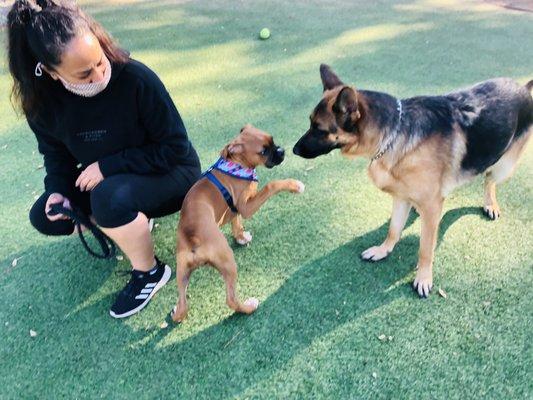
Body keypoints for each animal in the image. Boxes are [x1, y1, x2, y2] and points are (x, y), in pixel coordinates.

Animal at [170, 124, 304, 322]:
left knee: (183, 306)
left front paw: (241, 237)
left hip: (182, 271)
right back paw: (249, 307)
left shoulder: (236, 207)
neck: (237, 164)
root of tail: (193, 235)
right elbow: (271, 185)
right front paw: (294, 185)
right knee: (231, 299)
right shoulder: (247, 207)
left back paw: (176, 312)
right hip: (227, 262)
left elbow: (236, 221)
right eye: (263, 151)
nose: (281, 151)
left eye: (272, 140)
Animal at [294, 65, 528, 296]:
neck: (394, 134)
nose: (293, 150)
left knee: (489, 180)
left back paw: (490, 204)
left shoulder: (431, 208)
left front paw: (423, 278)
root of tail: (523, 87)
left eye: (319, 129)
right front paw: (383, 250)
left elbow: (425, 248)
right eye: (310, 123)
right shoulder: (400, 198)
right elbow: (393, 229)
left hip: (504, 166)